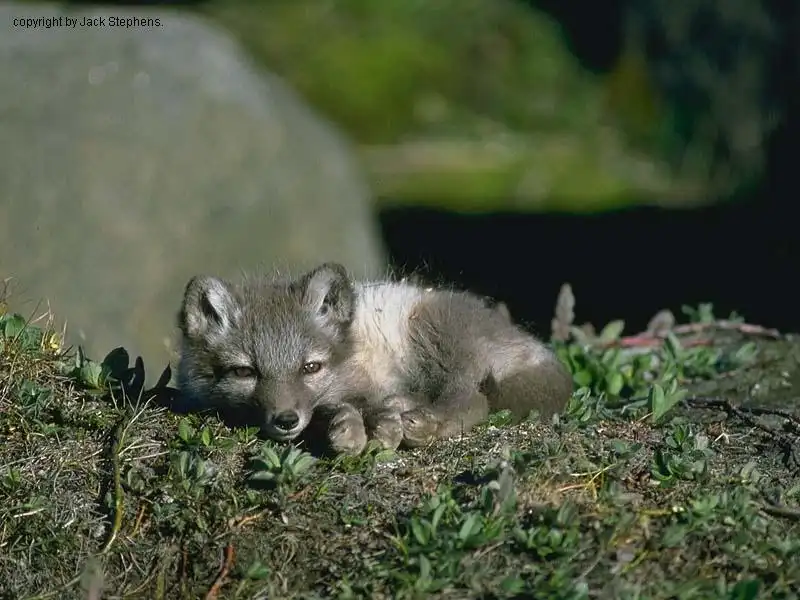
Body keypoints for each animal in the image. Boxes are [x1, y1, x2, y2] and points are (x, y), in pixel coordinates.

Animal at [178, 262, 572, 454]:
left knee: (474, 399)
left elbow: (343, 405)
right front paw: (353, 427)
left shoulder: (359, 385)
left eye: (310, 367)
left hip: (432, 334)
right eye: (245, 372)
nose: (286, 420)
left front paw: (361, 426)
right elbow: (336, 409)